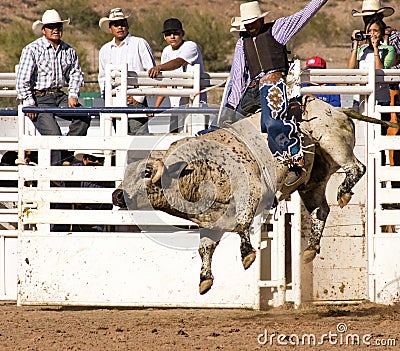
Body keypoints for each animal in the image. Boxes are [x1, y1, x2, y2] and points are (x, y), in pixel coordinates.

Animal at [111, 97, 366, 296]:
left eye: (146, 173)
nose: (116, 195)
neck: (198, 169)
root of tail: (336, 110)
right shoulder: (210, 221)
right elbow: (205, 248)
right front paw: (205, 279)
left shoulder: (252, 193)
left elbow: (242, 223)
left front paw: (248, 255)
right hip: (313, 180)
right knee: (321, 209)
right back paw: (311, 248)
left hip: (334, 145)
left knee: (357, 168)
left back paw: (343, 192)